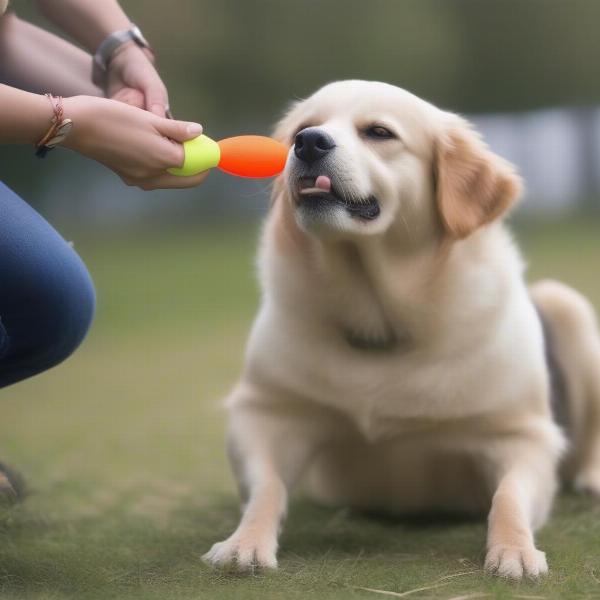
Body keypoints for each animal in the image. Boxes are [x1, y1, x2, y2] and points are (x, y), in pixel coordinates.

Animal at [203, 79, 600, 576]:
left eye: (379, 132)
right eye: (300, 129)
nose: (309, 143)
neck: (383, 320)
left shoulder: (523, 435)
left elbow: (508, 497)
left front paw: (515, 551)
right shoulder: (263, 412)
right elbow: (266, 487)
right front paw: (245, 541)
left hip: (570, 308)